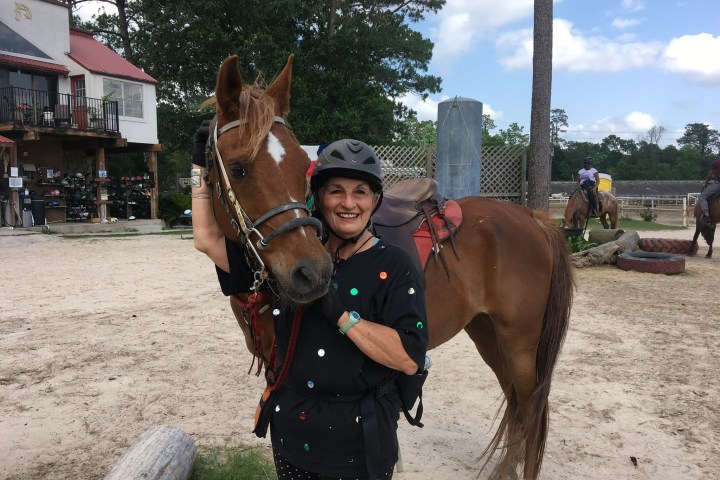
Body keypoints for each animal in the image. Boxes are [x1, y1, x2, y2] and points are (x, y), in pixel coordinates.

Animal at [207, 54, 572, 478]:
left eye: (302, 168)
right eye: (238, 169)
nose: (312, 273)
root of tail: (533, 218)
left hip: (520, 342)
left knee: (530, 407)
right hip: (488, 333)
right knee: (515, 402)